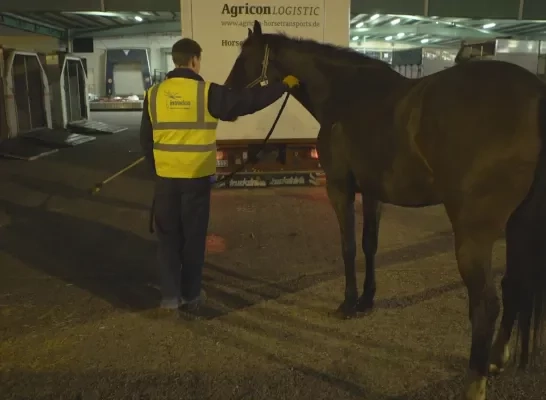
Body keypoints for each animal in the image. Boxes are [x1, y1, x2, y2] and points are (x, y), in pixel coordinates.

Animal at [224, 20, 544, 398]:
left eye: (244, 56)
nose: (225, 98)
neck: (347, 95)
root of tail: (535, 96)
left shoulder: (339, 188)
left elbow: (348, 247)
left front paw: (348, 304)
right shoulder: (372, 193)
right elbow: (369, 245)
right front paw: (366, 300)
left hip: (474, 233)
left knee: (485, 306)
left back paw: (475, 383)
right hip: (519, 224)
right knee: (513, 285)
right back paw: (496, 359)